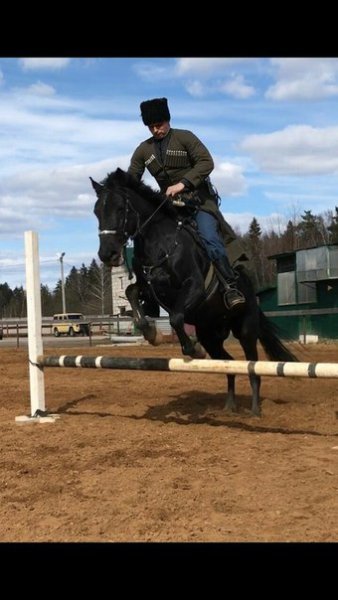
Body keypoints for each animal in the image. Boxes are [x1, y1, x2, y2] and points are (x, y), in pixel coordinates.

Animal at [91, 166, 298, 414]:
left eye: (120, 208)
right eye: (96, 212)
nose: (108, 255)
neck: (161, 243)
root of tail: (252, 294)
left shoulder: (194, 288)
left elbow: (176, 318)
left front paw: (192, 350)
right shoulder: (149, 289)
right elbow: (132, 293)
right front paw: (151, 333)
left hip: (245, 330)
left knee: (252, 366)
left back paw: (255, 410)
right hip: (210, 334)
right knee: (228, 363)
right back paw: (229, 406)